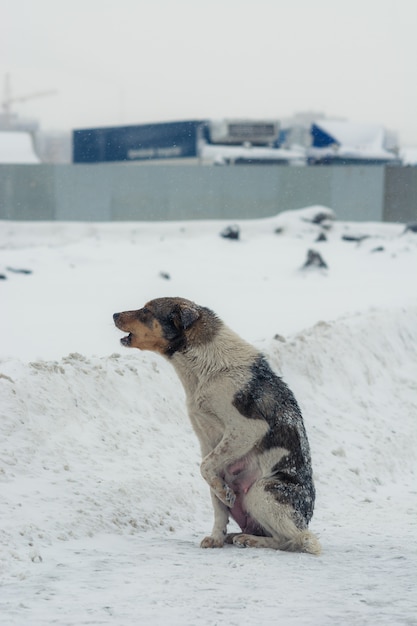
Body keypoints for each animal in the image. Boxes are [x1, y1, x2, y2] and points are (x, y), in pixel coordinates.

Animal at [112, 296, 320, 552]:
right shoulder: (207, 441)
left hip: (262, 491)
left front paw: (224, 493)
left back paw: (251, 539)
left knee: (295, 540)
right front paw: (216, 537)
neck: (204, 366)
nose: (114, 315)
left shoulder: (246, 429)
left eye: (146, 311)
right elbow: (213, 489)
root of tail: (304, 521)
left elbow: (205, 467)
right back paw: (234, 535)